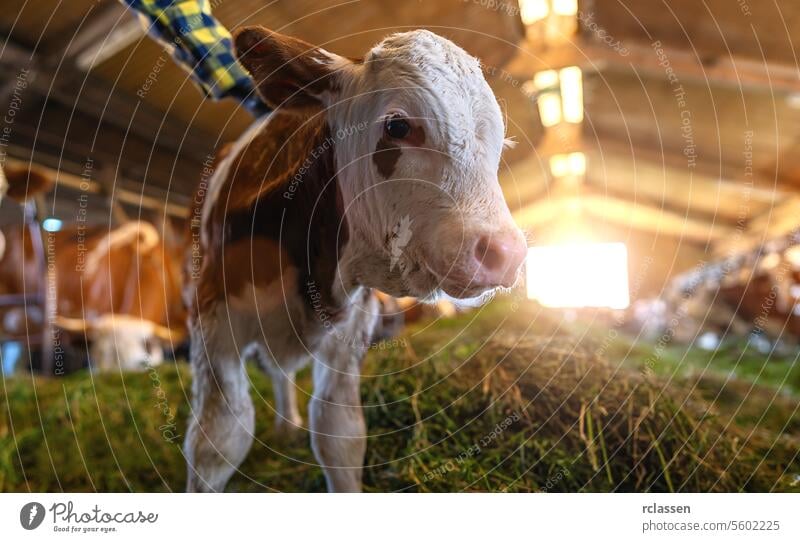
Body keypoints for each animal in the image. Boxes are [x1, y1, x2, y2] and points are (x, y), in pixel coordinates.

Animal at [184, 27, 528, 496]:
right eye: (398, 125)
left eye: (501, 144)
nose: (504, 252)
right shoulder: (213, 317)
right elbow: (218, 441)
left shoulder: (352, 329)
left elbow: (340, 436)